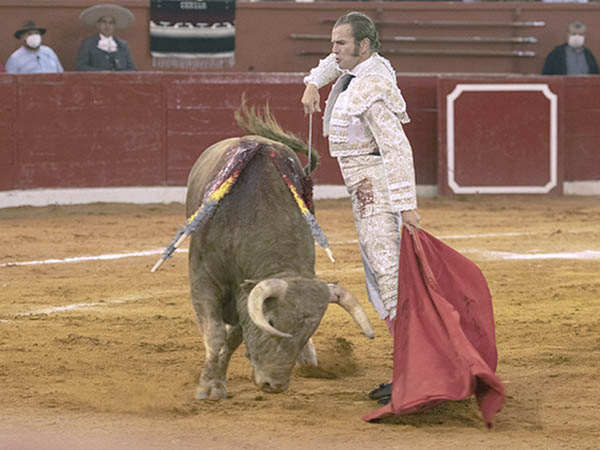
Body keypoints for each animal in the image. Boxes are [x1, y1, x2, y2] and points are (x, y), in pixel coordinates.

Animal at [185, 104, 374, 400]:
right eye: (271, 320)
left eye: (309, 330)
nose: (274, 384)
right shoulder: (203, 278)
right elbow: (215, 333)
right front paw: (210, 387)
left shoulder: (244, 294)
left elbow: (234, 336)